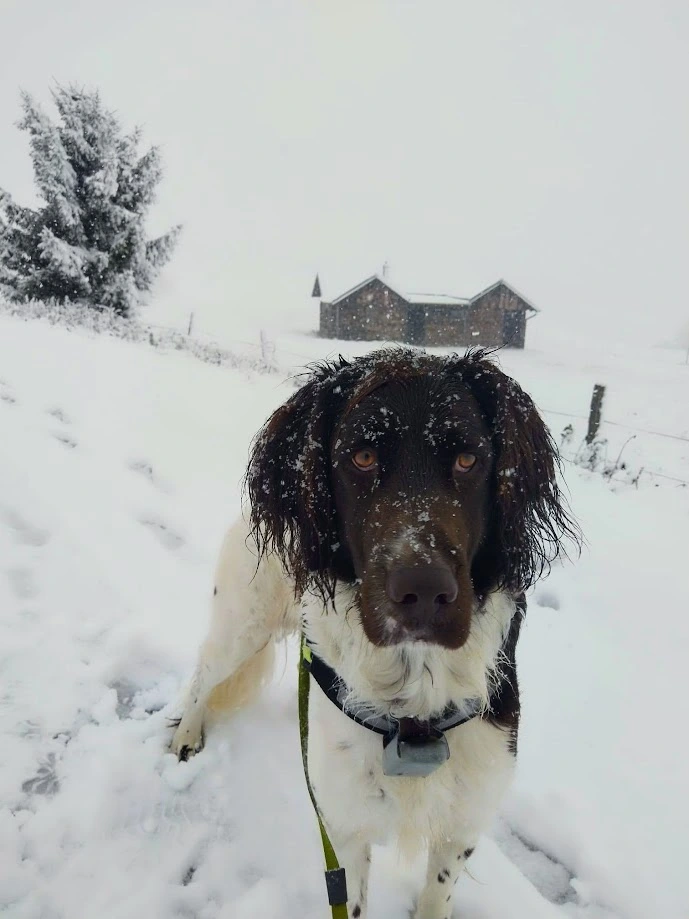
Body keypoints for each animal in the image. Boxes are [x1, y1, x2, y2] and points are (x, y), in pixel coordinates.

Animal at [171, 347, 578, 918]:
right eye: (361, 458)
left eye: (468, 461)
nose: (423, 592)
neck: (415, 704)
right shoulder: (344, 828)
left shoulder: (463, 821)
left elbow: (436, 895)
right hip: (242, 622)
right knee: (204, 673)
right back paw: (185, 736)